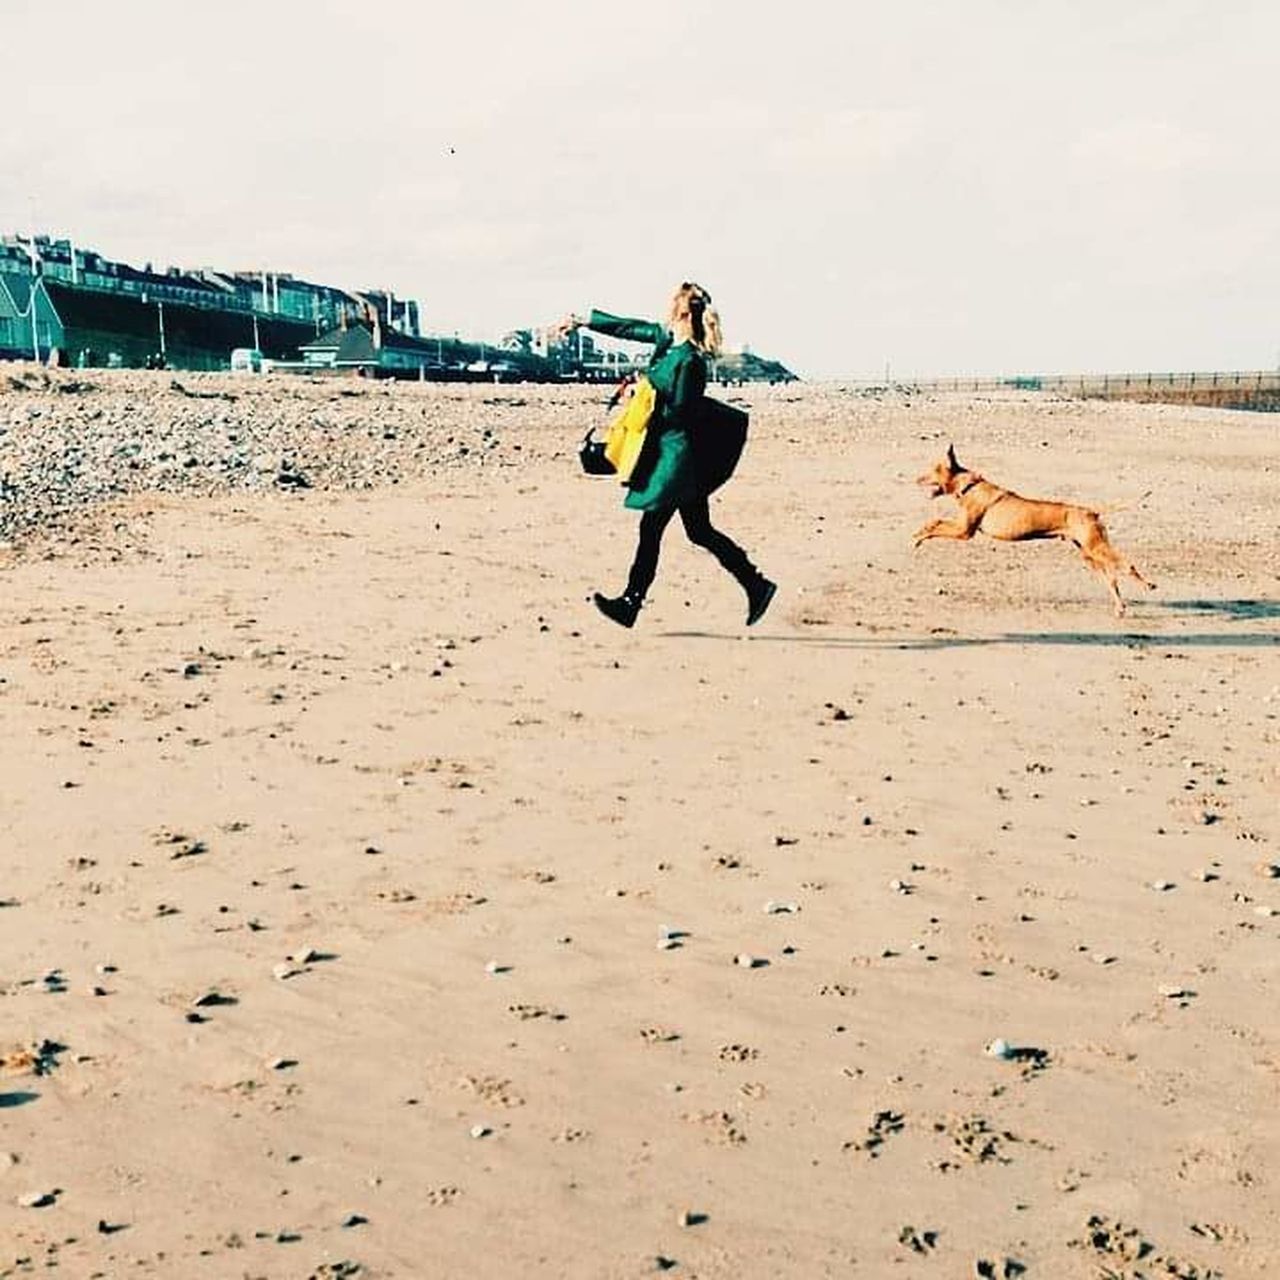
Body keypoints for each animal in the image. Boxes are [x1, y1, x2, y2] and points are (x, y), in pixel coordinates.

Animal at [916, 442, 1157, 616]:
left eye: (933, 470)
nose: (916, 478)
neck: (969, 487)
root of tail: (1091, 511)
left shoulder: (964, 531)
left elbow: (935, 524)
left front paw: (918, 537)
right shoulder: (962, 528)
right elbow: (934, 523)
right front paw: (919, 535)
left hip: (1097, 548)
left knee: (1127, 565)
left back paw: (1148, 585)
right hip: (1089, 554)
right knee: (1111, 579)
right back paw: (1120, 607)